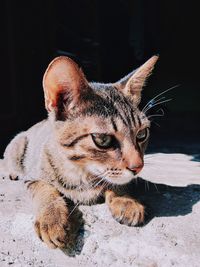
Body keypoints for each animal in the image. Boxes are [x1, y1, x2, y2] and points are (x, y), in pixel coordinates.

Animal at [1, 54, 158, 249]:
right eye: (102, 140)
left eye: (142, 134)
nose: (138, 167)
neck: (81, 173)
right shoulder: (33, 177)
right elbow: (45, 189)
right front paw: (52, 218)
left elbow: (117, 182)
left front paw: (126, 200)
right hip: (18, 144)